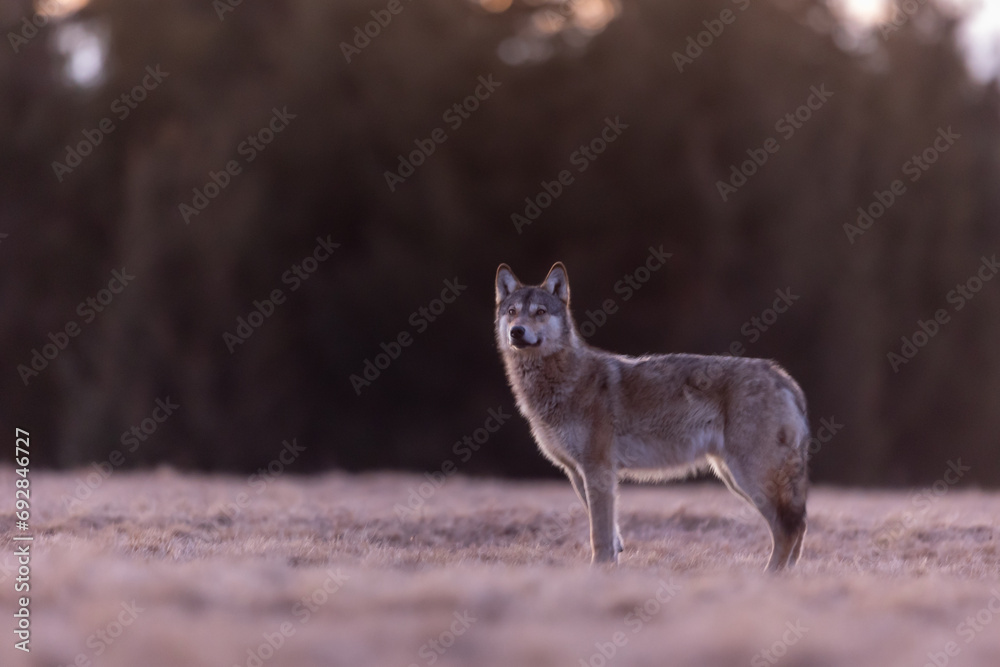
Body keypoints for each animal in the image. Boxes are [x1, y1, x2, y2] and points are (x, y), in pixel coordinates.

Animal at [495, 262, 809, 571]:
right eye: (512, 312)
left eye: (540, 312)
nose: (517, 332)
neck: (561, 380)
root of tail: (783, 377)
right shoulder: (577, 472)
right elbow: (611, 532)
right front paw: (611, 568)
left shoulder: (598, 470)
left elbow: (599, 534)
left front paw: (597, 572)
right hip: (734, 477)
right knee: (798, 525)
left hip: (748, 477)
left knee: (788, 527)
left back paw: (768, 577)